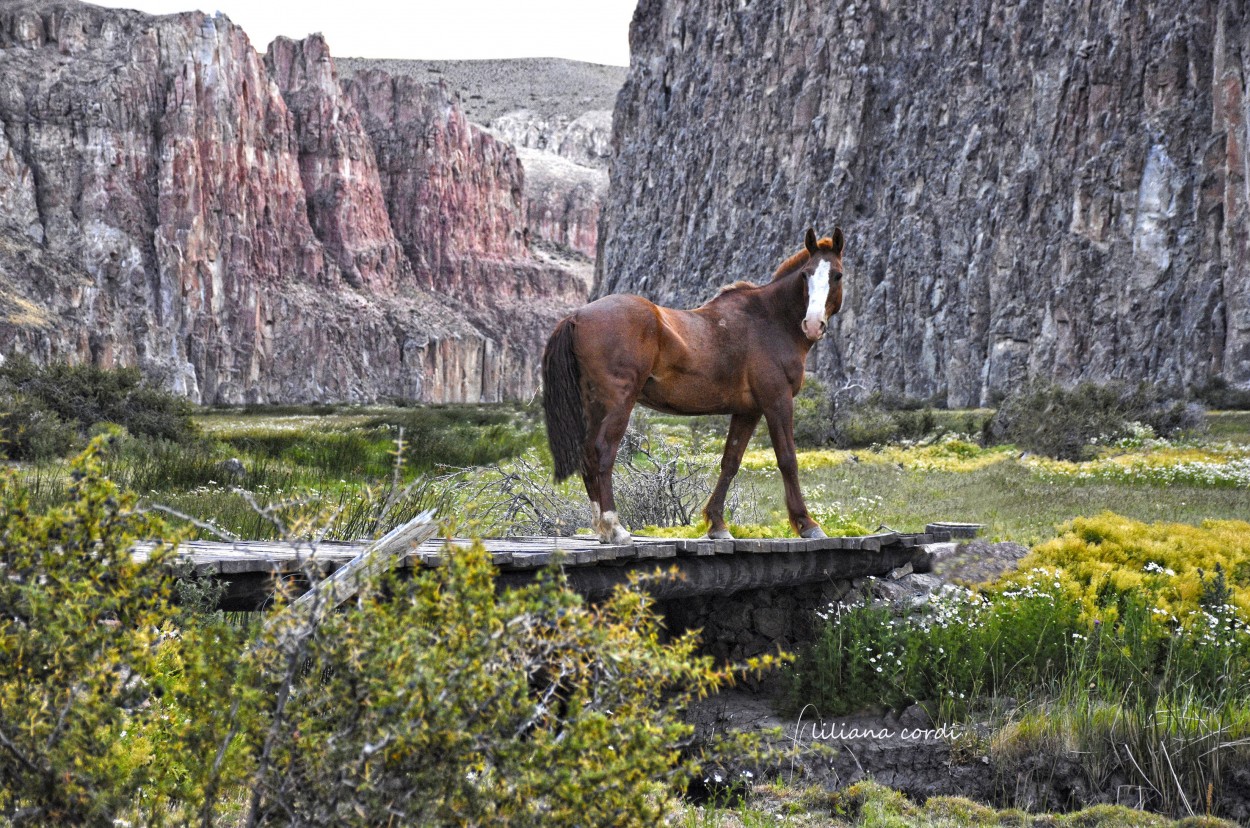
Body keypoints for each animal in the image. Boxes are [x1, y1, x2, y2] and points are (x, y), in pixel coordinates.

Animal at [542, 230, 845, 547]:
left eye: (836, 275)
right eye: (806, 275)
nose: (813, 324)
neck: (769, 320)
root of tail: (577, 315)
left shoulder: (747, 411)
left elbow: (730, 462)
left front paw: (717, 524)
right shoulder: (777, 401)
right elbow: (787, 459)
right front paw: (807, 524)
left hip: (594, 405)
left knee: (588, 454)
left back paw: (601, 529)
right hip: (618, 404)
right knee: (603, 452)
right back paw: (615, 527)